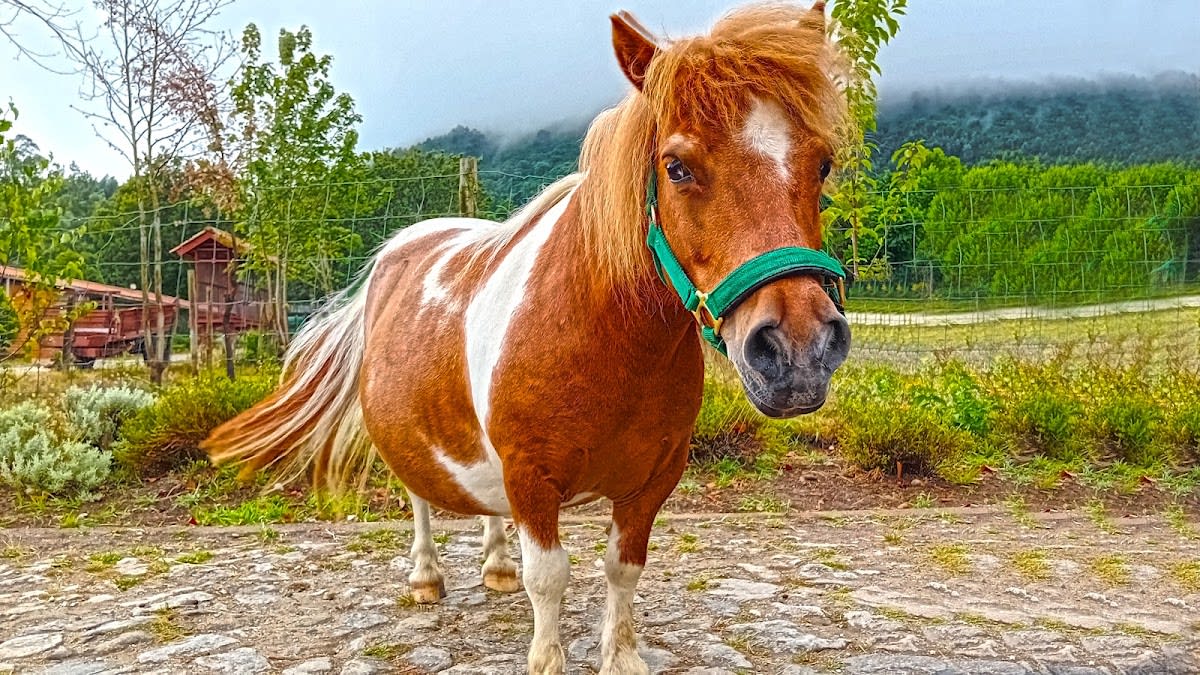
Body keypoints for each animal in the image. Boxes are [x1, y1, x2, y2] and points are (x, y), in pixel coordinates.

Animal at [203, 2, 851, 673]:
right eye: (678, 168)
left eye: (823, 163)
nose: (799, 349)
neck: (607, 340)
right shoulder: (532, 479)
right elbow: (550, 575)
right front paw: (546, 656)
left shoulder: (651, 483)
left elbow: (623, 568)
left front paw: (620, 654)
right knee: (420, 501)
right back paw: (426, 576)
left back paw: (496, 566)